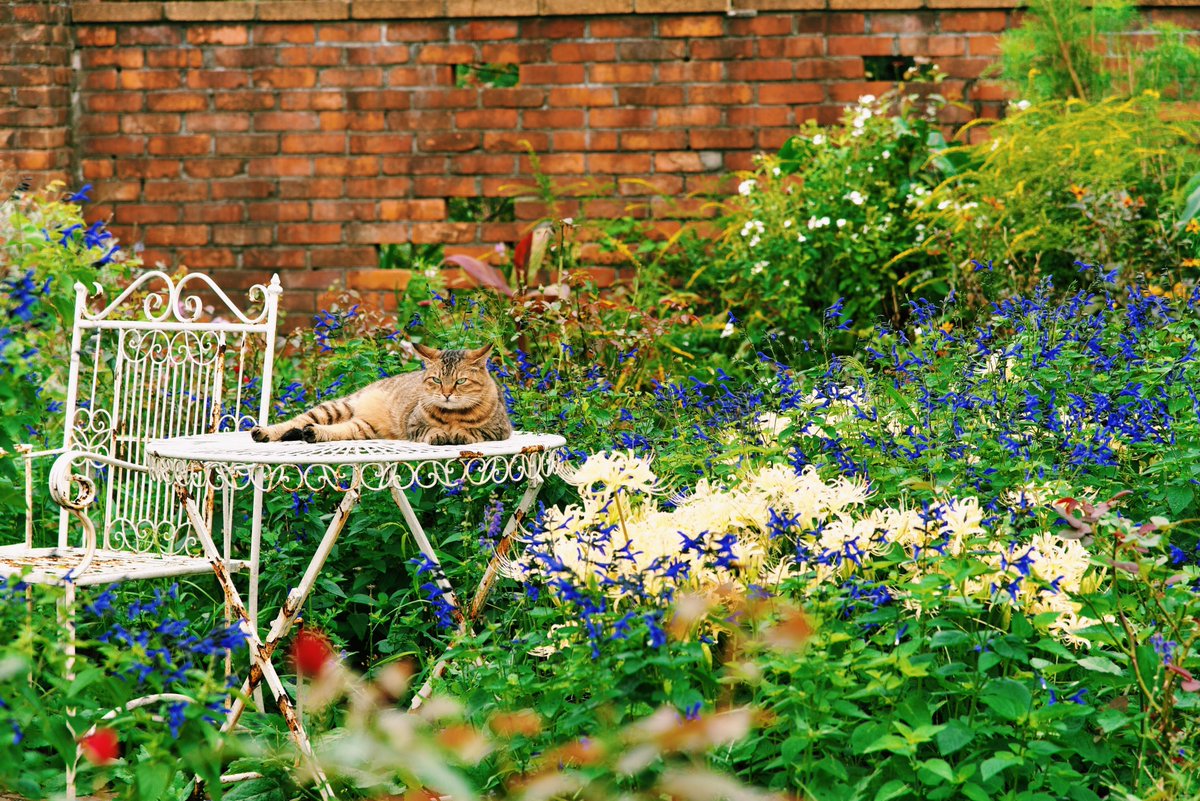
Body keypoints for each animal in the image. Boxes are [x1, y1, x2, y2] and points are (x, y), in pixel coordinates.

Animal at [250, 342, 513, 448]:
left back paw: (312, 433)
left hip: (360, 428)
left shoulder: (500, 430)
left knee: (329, 430)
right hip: (336, 407)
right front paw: (440, 434)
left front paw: (458, 433)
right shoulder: (413, 424)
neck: (452, 414)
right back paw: (264, 432)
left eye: (460, 381)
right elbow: (429, 429)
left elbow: (473, 431)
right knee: (293, 422)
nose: (446, 394)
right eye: (437, 380)